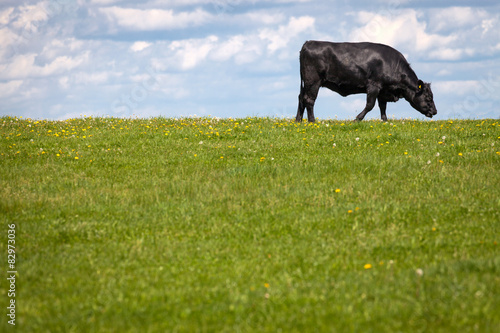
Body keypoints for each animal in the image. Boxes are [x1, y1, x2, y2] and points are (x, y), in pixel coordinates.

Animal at [296, 40, 438, 122]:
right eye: (428, 97)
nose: (435, 112)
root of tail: (308, 42)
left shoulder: (383, 90)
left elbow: (382, 106)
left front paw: (385, 121)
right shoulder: (374, 86)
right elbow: (370, 105)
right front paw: (357, 119)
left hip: (305, 83)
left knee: (301, 98)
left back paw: (298, 121)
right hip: (313, 81)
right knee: (309, 100)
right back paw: (312, 121)